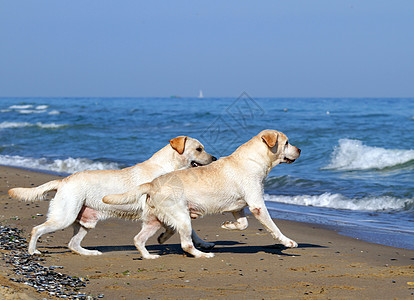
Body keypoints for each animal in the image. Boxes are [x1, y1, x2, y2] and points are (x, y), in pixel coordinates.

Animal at [8, 136, 217, 255]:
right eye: (199, 149)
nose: (215, 158)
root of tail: (63, 180)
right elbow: (179, 227)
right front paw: (165, 237)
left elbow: (191, 230)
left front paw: (203, 243)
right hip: (64, 217)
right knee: (36, 229)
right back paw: (33, 251)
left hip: (85, 222)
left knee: (73, 244)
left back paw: (90, 253)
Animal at [104, 130, 300, 258]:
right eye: (287, 143)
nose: (300, 150)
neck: (253, 159)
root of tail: (152, 183)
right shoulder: (257, 204)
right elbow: (273, 227)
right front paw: (288, 242)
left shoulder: (239, 208)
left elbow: (243, 224)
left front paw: (228, 225)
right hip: (181, 216)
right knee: (185, 244)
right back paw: (203, 255)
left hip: (154, 220)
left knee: (139, 239)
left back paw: (152, 252)